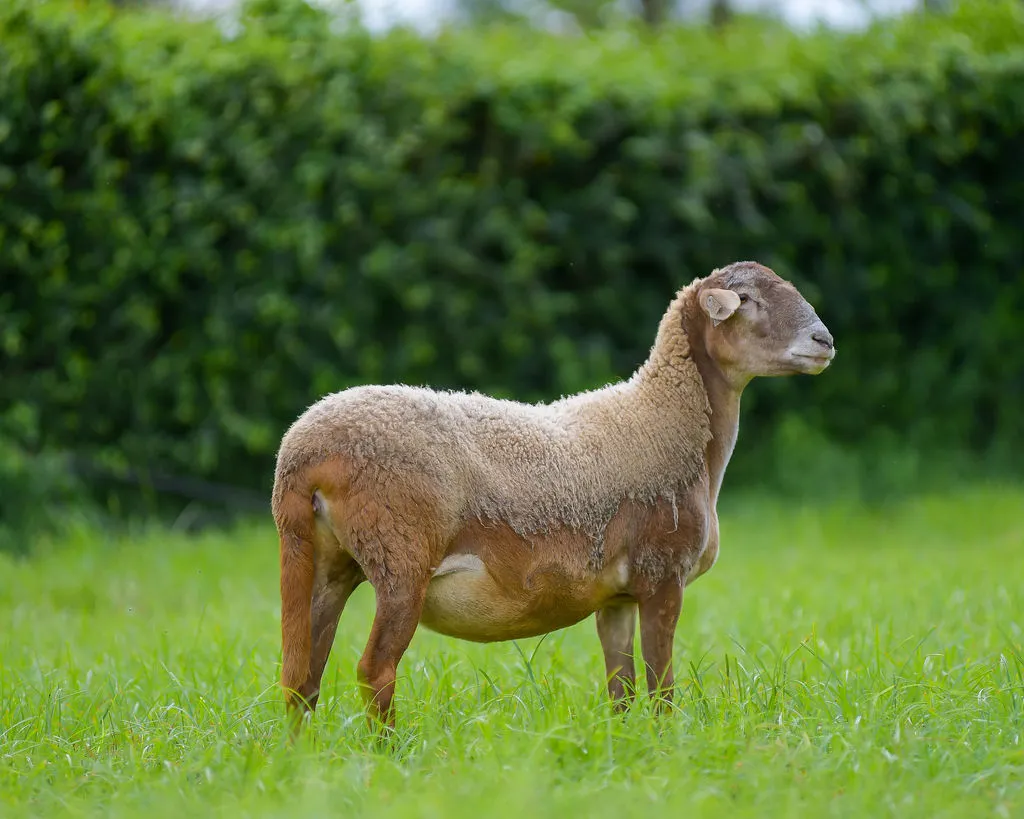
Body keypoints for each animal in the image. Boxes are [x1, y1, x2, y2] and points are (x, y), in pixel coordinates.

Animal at [271, 260, 836, 730]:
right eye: (748, 300)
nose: (824, 340)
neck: (666, 418)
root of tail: (301, 451)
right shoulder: (662, 575)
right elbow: (661, 688)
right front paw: (668, 744)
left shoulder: (618, 597)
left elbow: (622, 688)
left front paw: (629, 746)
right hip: (400, 560)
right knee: (374, 669)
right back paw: (390, 752)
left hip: (324, 561)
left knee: (302, 677)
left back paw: (305, 758)